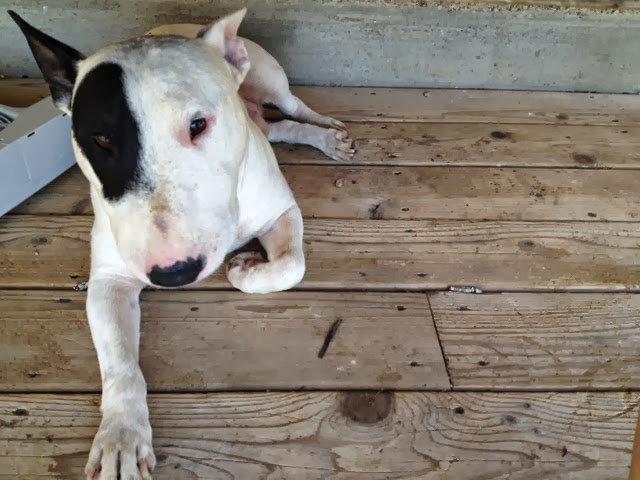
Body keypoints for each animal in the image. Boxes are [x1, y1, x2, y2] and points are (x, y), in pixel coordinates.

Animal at [11, 8, 354, 479]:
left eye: (198, 124)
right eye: (100, 140)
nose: (174, 272)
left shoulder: (281, 211)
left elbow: (291, 266)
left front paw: (244, 268)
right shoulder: (109, 282)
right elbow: (120, 365)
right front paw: (122, 437)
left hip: (270, 79)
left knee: (293, 108)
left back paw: (328, 134)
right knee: (277, 126)